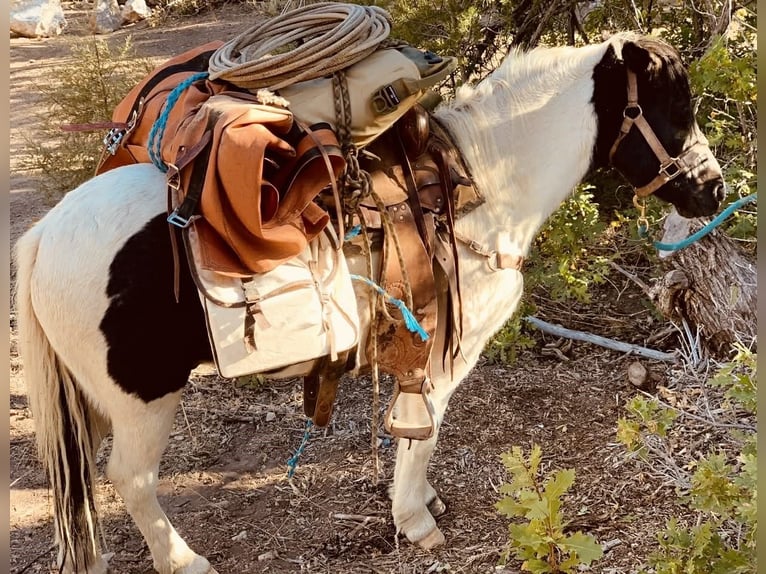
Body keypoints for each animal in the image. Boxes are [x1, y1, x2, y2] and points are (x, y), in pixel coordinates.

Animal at [14, 31, 725, 574]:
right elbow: (423, 427)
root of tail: (45, 235)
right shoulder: (446, 352)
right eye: (672, 106)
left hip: (96, 400)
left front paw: (423, 502)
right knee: (131, 480)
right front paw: (414, 519)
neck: (479, 188)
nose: (713, 191)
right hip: (145, 400)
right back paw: (185, 562)